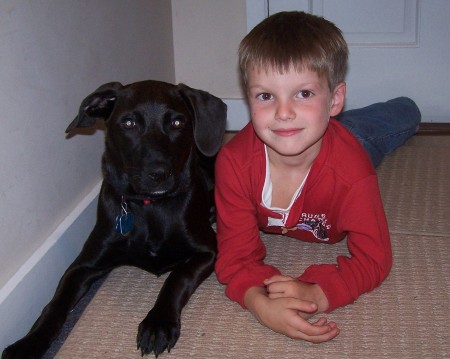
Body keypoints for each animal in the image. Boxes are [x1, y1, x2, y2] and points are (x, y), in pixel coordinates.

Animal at [2, 80, 229, 358]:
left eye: (177, 122)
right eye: (128, 123)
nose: (159, 174)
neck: (149, 206)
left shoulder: (207, 250)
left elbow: (176, 279)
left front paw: (158, 323)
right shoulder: (84, 264)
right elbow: (55, 304)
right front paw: (28, 343)